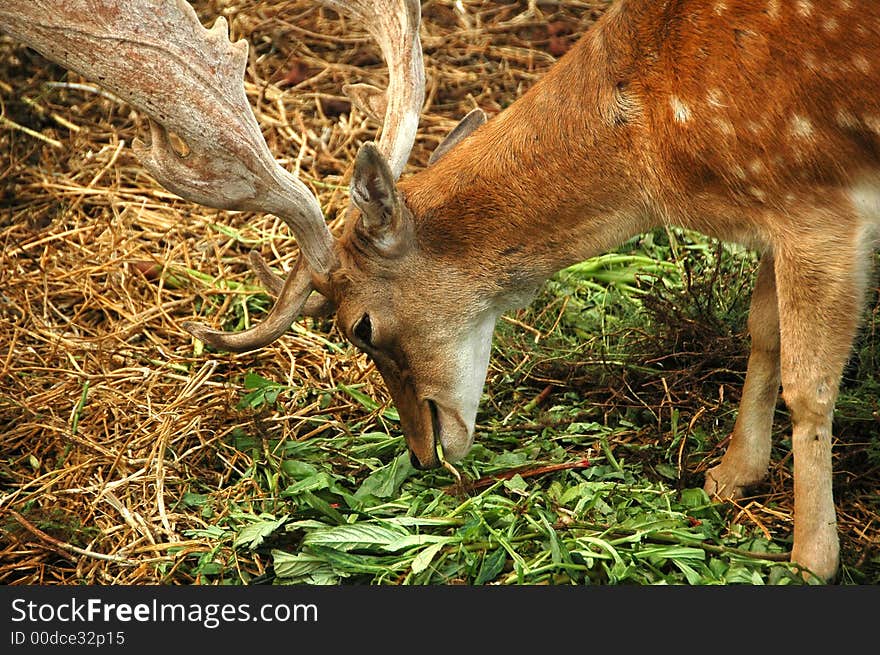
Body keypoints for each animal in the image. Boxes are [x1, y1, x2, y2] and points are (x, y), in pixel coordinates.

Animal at [3, 0, 876, 584]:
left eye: (359, 326)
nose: (424, 452)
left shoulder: (817, 198)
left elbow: (810, 383)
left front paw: (813, 556)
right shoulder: (779, 208)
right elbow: (761, 330)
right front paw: (730, 475)